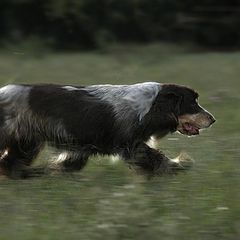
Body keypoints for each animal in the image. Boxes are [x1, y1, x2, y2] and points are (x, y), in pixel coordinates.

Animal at [0, 81, 214, 177]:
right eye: (192, 104)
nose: (213, 119)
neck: (150, 106)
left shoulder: (79, 149)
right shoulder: (131, 145)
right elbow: (158, 159)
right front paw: (181, 164)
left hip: (26, 143)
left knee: (10, 163)